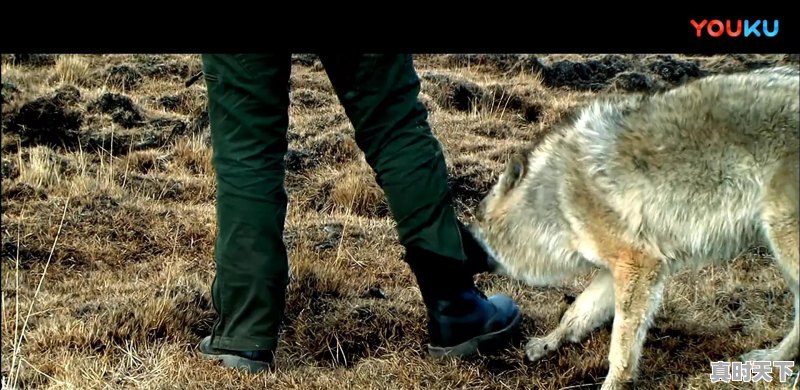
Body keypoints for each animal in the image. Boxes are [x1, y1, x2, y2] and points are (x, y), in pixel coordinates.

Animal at [466, 65, 796, 388]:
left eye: (477, 226)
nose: (462, 241)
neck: (556, 199)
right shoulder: (615, 267)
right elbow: (577, 311)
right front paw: (547, 343)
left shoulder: (639, 264)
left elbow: (621, 344)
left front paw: (614, 382)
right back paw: (772, 359)